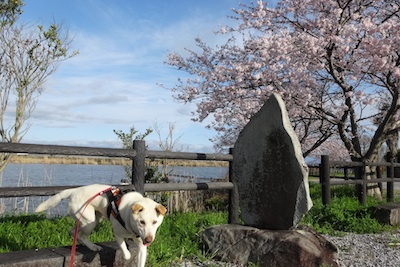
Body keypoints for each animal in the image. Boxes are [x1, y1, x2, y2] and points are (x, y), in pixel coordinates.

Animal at [34, 184, 166, 267]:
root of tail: (74, 191)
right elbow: (125, 251)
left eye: (155, 222)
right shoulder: (118, 234)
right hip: (90, 221)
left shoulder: (142, 247)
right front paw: (126, 255)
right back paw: (93, 246)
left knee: (73, 231)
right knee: (82, 235)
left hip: (90, 219)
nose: (148, 240)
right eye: (142, 222)